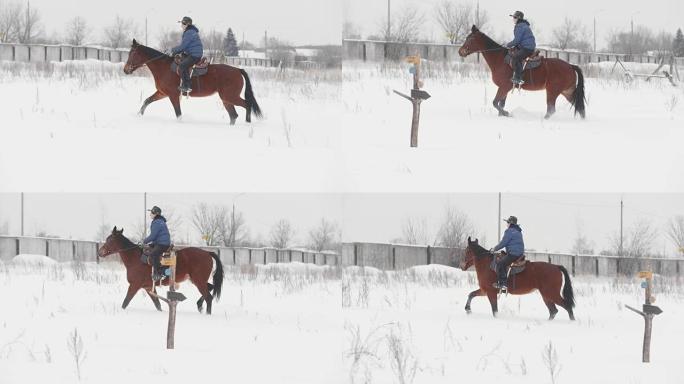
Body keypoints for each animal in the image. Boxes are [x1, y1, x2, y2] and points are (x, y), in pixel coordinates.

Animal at [95, 226, 224, 314]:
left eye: (110, 239)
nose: (100, 252)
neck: (135, 258)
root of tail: (207, 252)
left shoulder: (134, 285)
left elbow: (125, 302)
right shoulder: (148, 287)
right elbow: (157, 305)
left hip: (199, 281)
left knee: (209, 297)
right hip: (197, 280)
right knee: (211, 288)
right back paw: (199, 305)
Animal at [123, 38, 262, 124]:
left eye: (133, 53)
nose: (125, 69)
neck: (164, 67)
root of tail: (238, 70)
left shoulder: (173, 95)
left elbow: (178, 113)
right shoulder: (162, 93)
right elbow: (147, 101)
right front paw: (138, 116)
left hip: (230, 96)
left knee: (247, 105)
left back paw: (247, 123)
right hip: (226, 99)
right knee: (233, 115)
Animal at [456, 25, 584, 118]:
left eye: (470, 38)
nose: (460, 51)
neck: (500, 59)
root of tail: (571, 66)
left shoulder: (504, 87)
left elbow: (495, 103)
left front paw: (506, 113)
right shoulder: (504, 88)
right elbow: (500, 104)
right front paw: (503, 114)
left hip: (553, 91)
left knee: (551, 110)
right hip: (567, 92)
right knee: (579, 108)